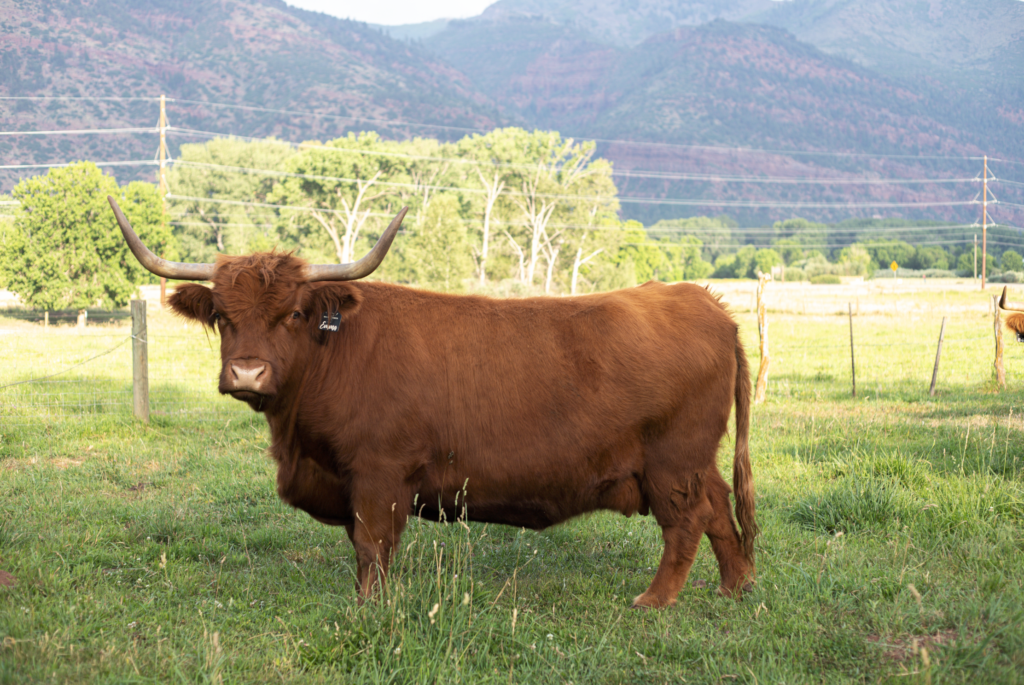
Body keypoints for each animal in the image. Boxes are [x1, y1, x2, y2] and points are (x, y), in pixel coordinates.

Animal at [108, 195, 757, 609]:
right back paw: (737, 587)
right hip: (694, 460)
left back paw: (655, 600)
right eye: (222, 315)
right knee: (722, 510)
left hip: (672, 464)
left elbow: (371, 546)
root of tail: (706, 303)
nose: (247, 372)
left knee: (688, 522)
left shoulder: (377, 473)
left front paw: (370, 606)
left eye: (292, 313)